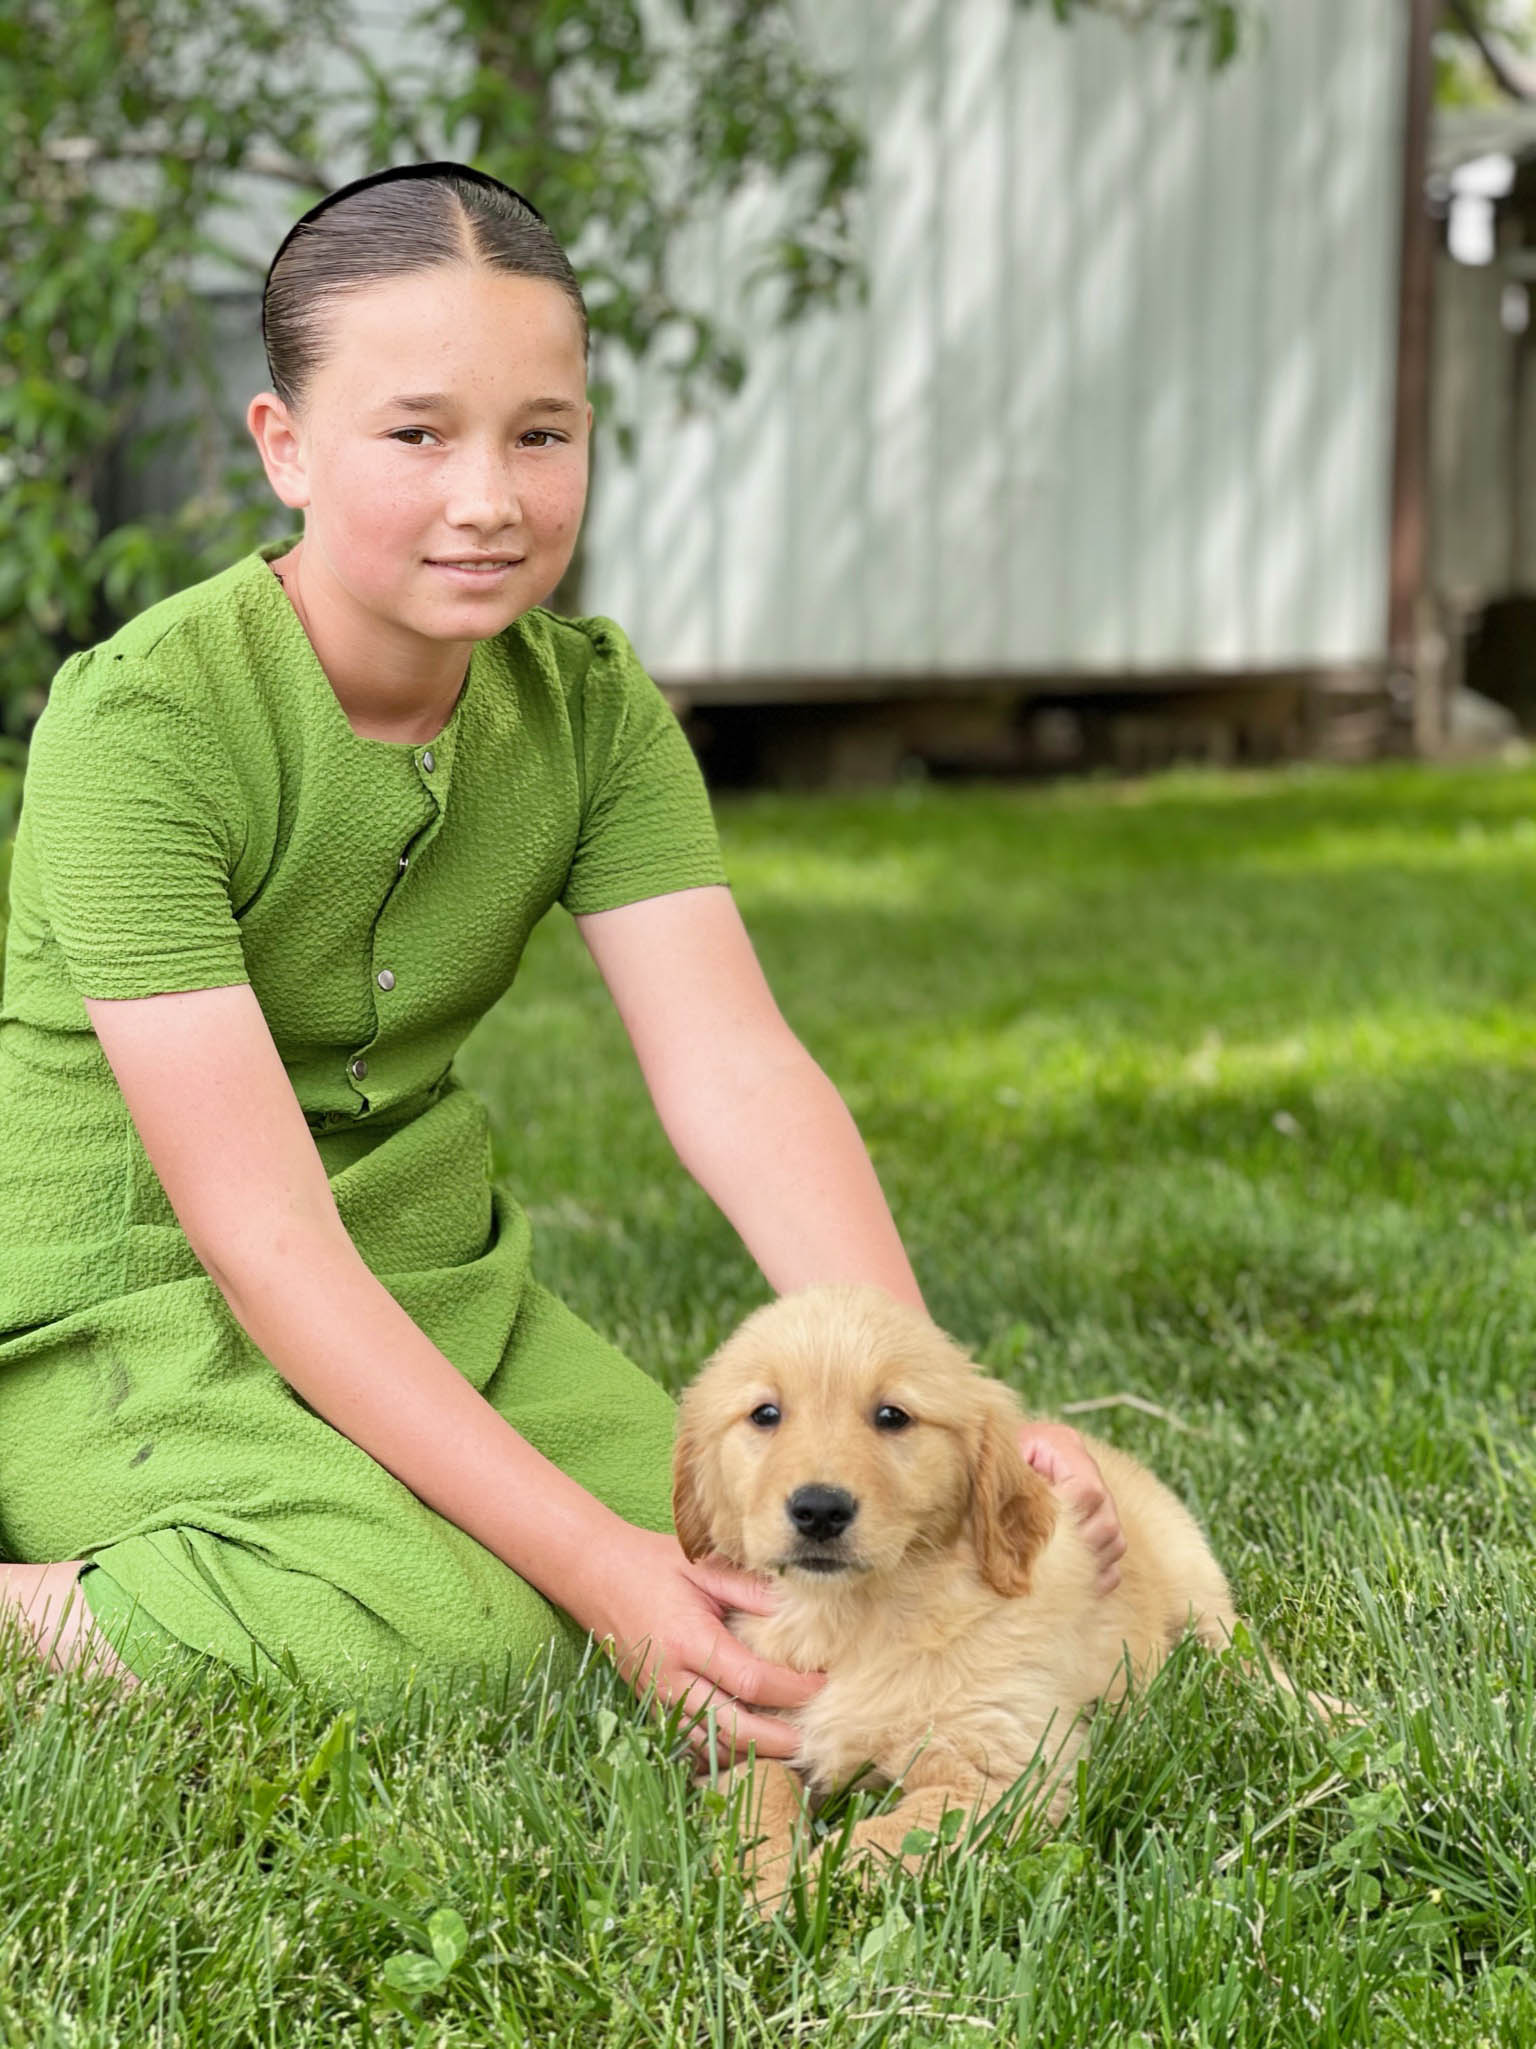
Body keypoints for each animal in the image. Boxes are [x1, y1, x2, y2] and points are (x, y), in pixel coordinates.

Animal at [679, 1286, 1294, 1893]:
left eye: (892, 1416)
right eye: (765, 1414)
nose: (820, 1510)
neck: (853, 1616)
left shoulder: (1006, 1774)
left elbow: (879, 1838)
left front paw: (812, 1886)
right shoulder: (747, 1734)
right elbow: (760, 1797)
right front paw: (764, 1885)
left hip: (1194, 1579)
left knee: (1244, 1651)